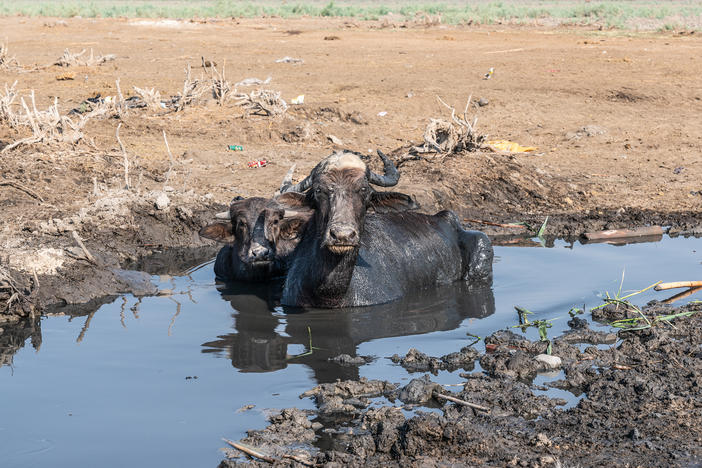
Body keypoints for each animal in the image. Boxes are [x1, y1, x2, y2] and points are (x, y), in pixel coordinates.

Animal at [280, 150, 496, 308]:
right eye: (319, 190)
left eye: (364, 190)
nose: (342, 235)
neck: (330, 294)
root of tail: (446, 217)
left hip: (482, 245)